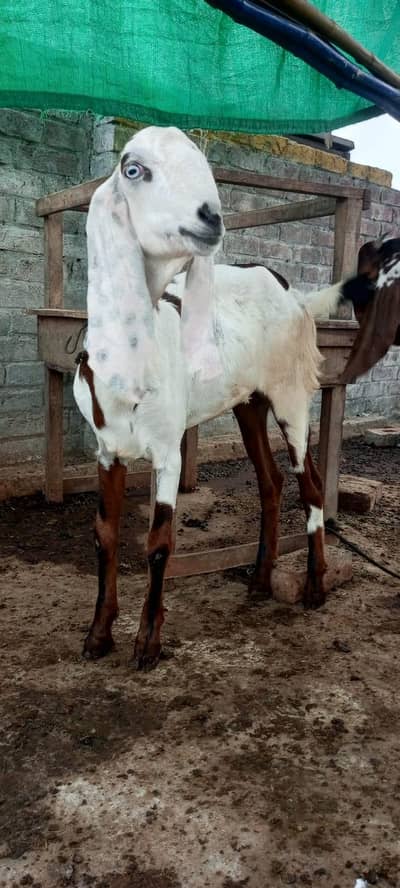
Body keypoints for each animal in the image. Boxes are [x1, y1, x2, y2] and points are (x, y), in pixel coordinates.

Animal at [73, 125, 370, 669]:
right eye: (133, 169)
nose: (211, 218)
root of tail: (291, 291)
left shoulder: (167, 451)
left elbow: (159, 542)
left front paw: (148, 644)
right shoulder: (108, 450)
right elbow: (104, 535)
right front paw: (98, 635)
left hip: (290, 395)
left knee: (310, 483)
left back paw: (316, 588)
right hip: (247, 401)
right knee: (271, 483)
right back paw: (258, 581)